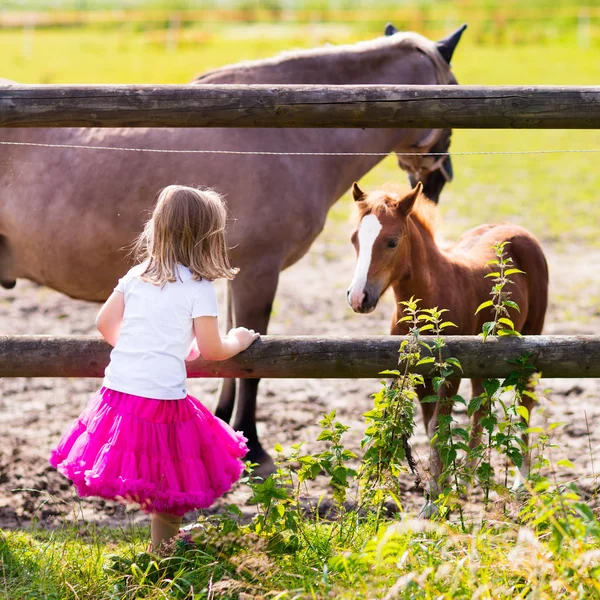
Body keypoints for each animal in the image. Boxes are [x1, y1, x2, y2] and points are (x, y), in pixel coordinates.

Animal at [0, 24, 466, 474]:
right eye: (452, 88)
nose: (440, 181)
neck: (283, 138)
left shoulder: (229, 276)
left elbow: (224, 347)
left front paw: (227, 424)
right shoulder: (259, 273)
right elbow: (251, 363)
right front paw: (253, 446)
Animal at [346, 180, 548, 504]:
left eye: (392, 242)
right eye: (355, 239)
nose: (357, 297)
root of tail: (516, 229)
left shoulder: (450, 371)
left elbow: (439, 427)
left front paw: (435, 500)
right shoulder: (417, 374)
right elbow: (432, 429)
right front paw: (439, 491)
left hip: (532, 341)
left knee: (525, 403)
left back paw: (521, 480)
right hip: (483, 361)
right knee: (481, 408)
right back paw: (466, 481)